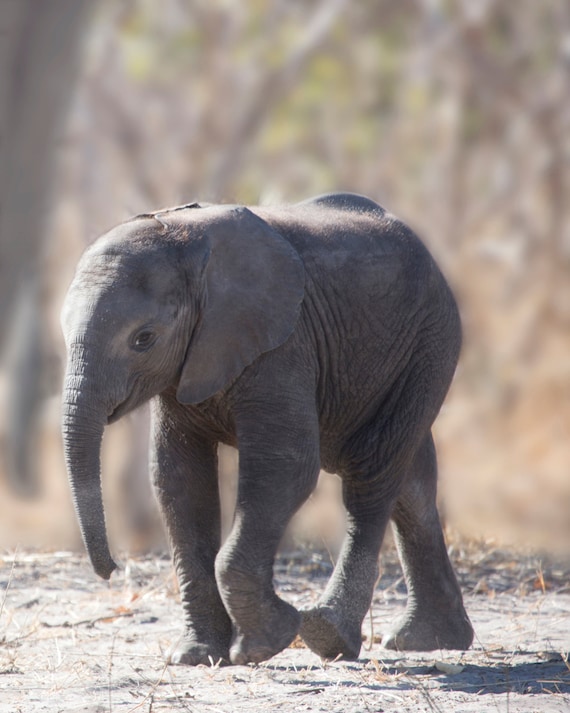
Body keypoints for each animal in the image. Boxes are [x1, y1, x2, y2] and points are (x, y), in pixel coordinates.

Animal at [60, 192, 474, 666]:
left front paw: (261, 644)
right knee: (412, 481)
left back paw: (329, 635)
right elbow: (178, 478)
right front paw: (197, 656)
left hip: (430, 340)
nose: (112, 569)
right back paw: (429, 639)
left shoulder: (284, 343)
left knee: (372, 473)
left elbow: (285, 466)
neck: (186, 244)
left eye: (143, 338)